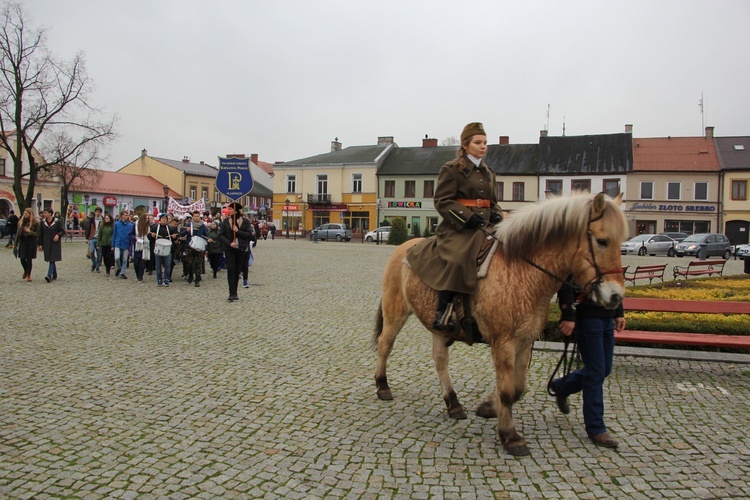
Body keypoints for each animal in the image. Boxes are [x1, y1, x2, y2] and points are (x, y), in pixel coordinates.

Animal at [374, 191, 628, 458]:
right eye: (602, 241)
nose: (615, 296)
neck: (521, 270)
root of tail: (402, 249)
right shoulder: (503, 343)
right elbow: (507, 391)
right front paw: (510, 435)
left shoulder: (525, 342)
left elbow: (517, 388)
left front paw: (489, 407)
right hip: (395, 312)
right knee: (385, 345)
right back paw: (382, 386)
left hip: (438, 328)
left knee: (440, 360)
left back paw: (453, 402)